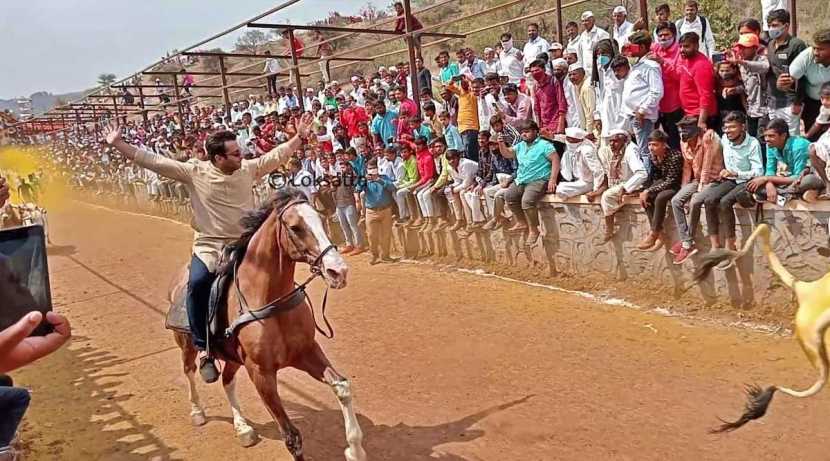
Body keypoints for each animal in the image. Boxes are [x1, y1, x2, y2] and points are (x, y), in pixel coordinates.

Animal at [167, 188, 366, 460]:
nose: (338, 271)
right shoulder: (260, 372)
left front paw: (354, 449)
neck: (269, 302)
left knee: (227, 381)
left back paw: (243, 429)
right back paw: (198, 412)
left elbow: (342, 386)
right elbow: (292, 437)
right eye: (295, 227)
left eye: (321, 218)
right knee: (189, 371)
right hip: (187, 345)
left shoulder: (306, 352)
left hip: (232, 358)